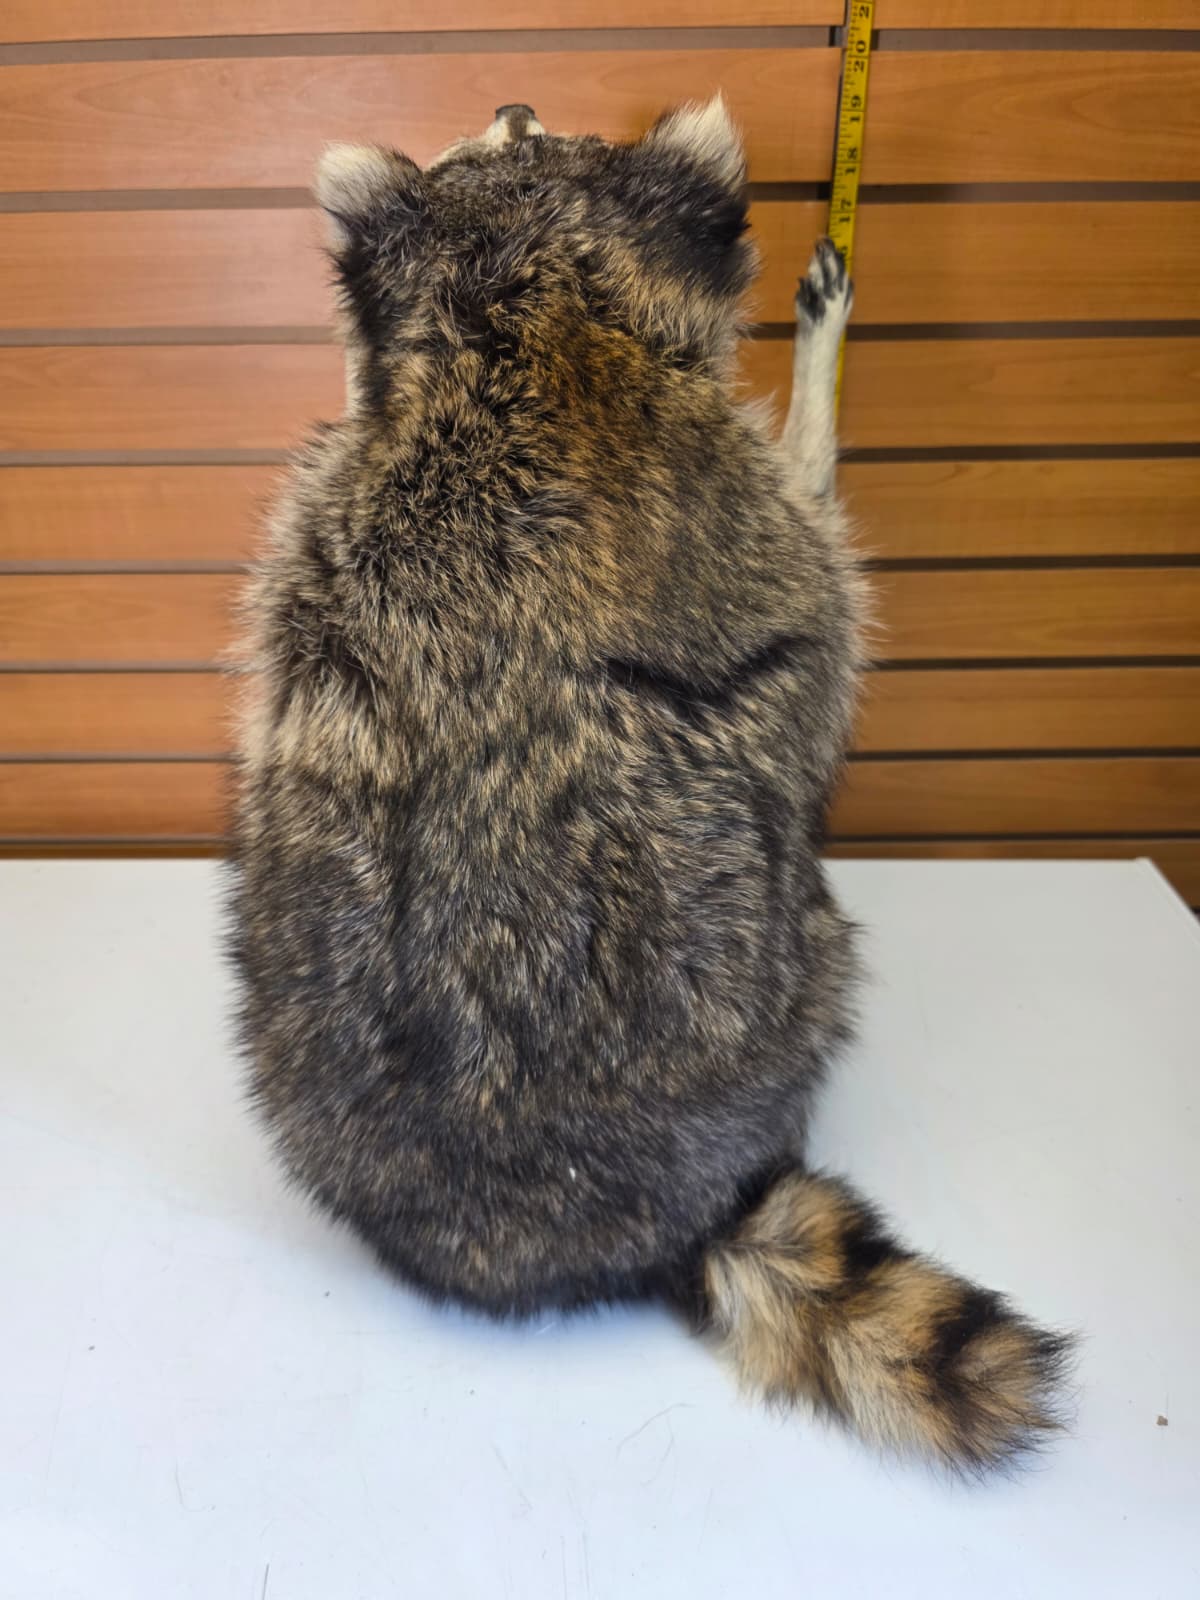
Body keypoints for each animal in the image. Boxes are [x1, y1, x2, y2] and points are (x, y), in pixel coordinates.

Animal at [229, 97, 1071, 1472]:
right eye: (491, 145)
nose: (516, 104)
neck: (533, 312)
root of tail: (614, 1229)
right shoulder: (758, 524)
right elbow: (829, 582)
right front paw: (821, 375)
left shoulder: (328, 516)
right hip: (799, 984)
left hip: (291, 1040)